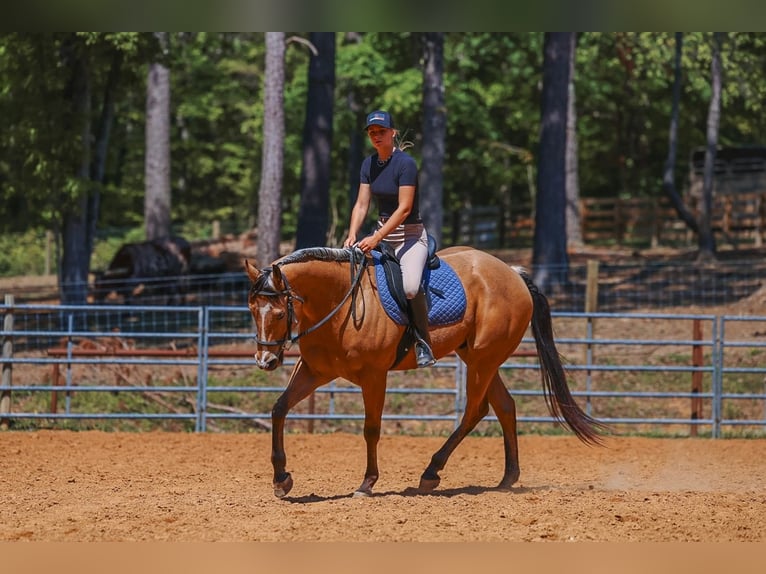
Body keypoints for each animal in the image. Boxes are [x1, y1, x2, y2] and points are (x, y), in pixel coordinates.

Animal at [245, 245, 605, 498]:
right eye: (251, 309)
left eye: (279, 314)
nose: (265, 361)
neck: (342, 302)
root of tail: (512, 273)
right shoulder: (314, 371)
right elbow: (279, 408)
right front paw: (281, 479)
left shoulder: (374, 376)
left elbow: (371, 429)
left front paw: (367, 483)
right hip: (479, 358)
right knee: (504, 406)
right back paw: (507, 477)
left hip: (483, 360)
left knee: (475, 410)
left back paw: (432, 472)